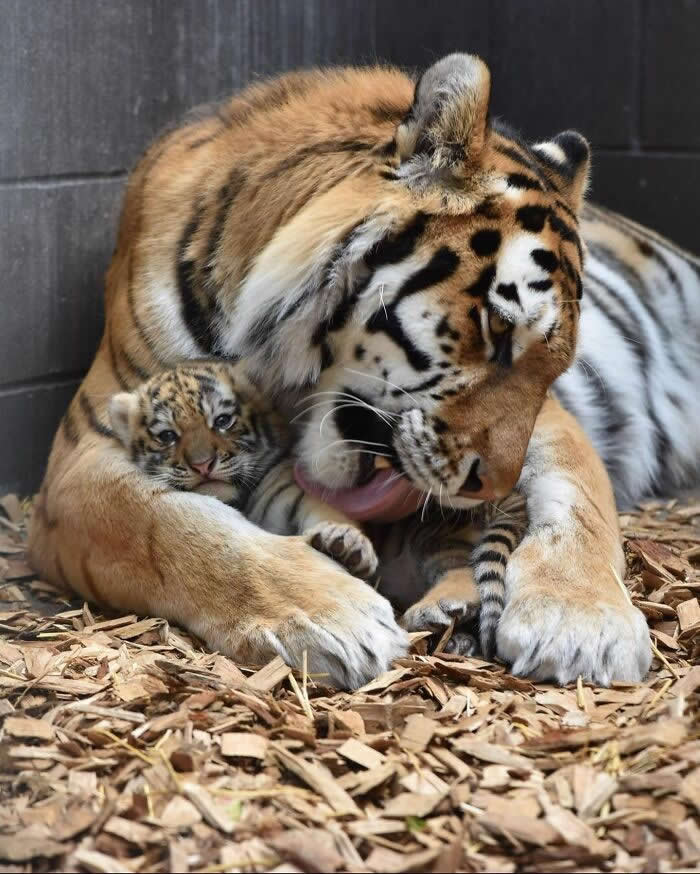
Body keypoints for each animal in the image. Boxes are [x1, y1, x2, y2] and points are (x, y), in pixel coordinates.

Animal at [29, 53, 699, 689]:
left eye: (554, 368)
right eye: (498, 328)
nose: (490, 489)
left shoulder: (552, 428)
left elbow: (576, 502)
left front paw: (582, 625)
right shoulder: (80, 459)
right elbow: (176, 531)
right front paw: (329, 618)